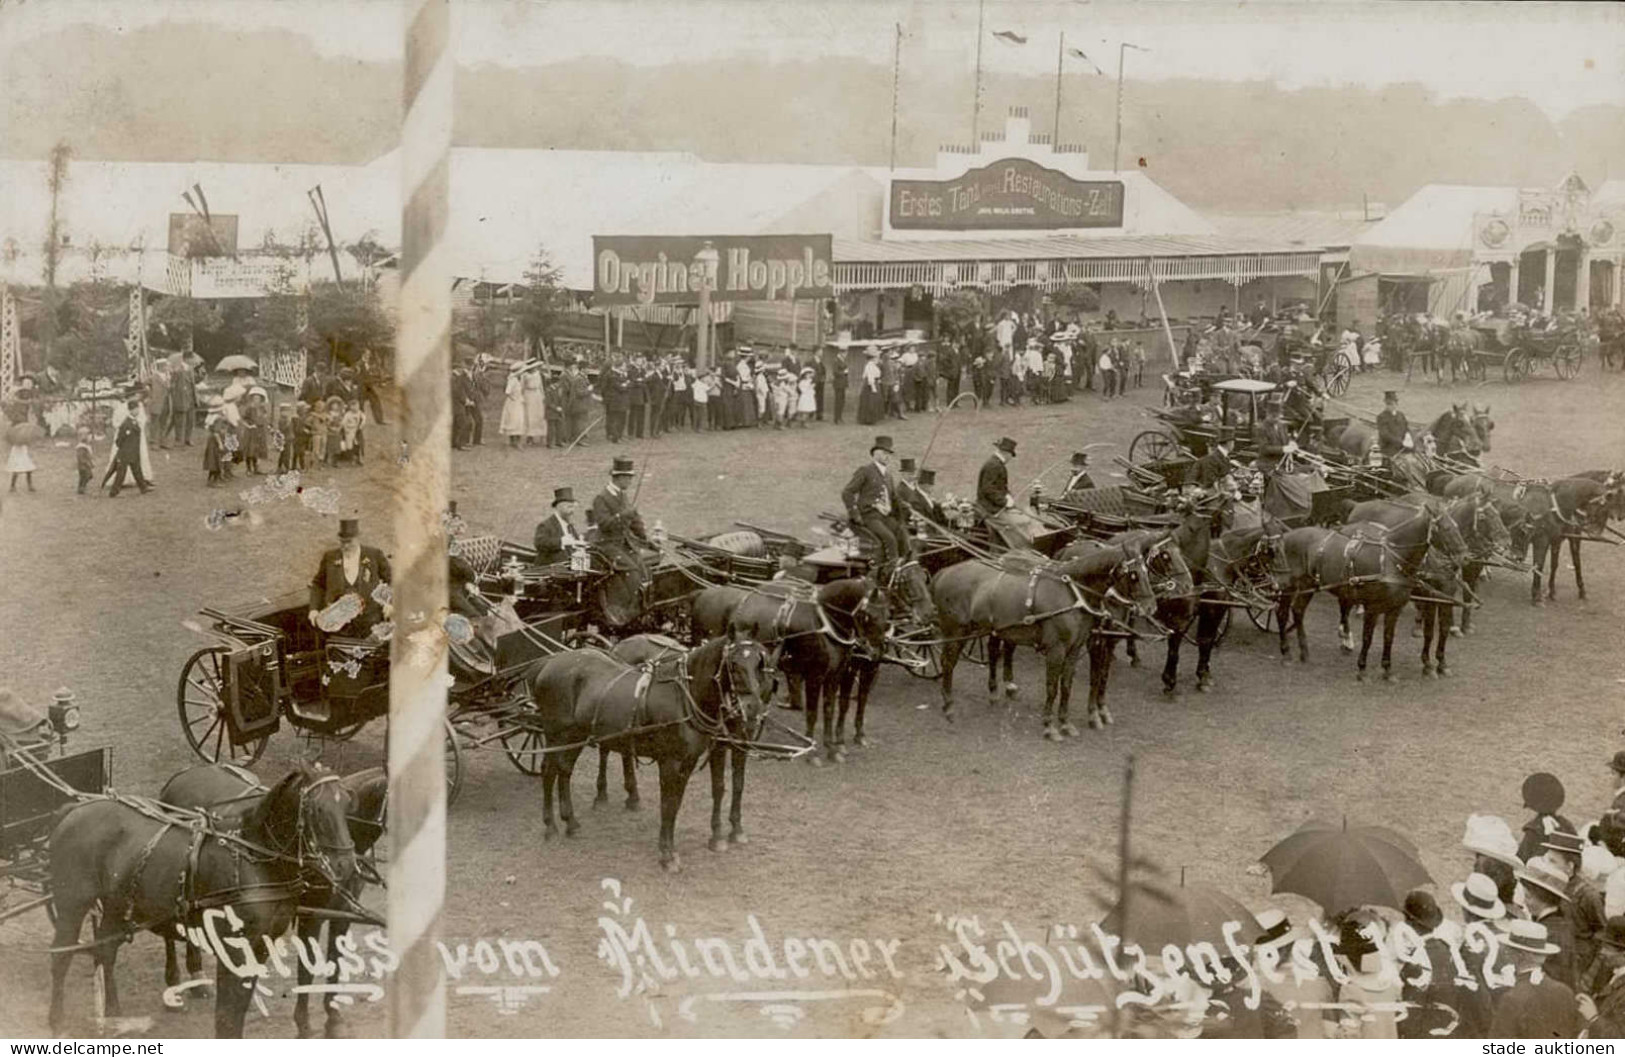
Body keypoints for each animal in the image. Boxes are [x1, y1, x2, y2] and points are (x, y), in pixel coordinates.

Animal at [46, 761, 355, 1034]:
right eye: (316, 808)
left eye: (347, 805)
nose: (346, 865)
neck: (253, 858)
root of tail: (75, 809)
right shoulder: (232, 948)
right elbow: (227, 1015)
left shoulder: (260, 946)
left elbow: (238, 1009)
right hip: (72, 905)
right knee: (60, 957)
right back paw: (57, 1022)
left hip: (115, 907)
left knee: (105, 952)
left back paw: (113, 1015)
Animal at [155, 761, 390, 1034]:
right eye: (316, 810)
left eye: (347, 805)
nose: (344, 865)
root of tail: (181, 775)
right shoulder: (312, 916)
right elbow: (307, 967)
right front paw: (304, 1025)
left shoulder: (343, 912)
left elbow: (335, 961)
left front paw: (333, 1019)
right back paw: (175, 985)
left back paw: (196, 977)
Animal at [523, 630, 770, 871]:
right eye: (734, 664)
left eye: (759, 663)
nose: (753, 708)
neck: (683, 697)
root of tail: (548, 662)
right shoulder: (670, 762)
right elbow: (668, 805)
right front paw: (667, 855)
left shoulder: (688, 762)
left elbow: (676, 804)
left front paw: (671, 850)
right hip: (556, 734)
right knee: (548, 771)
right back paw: (550, 826)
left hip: (576, 735)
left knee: (564, 770)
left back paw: (571, 822)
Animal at [936, 539, 1163, 738]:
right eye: (1133, 575)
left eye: (1146, 571)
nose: (1151, 607)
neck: (1073, 593)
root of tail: (943, 572)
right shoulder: (1060, 648)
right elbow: (1055, 686)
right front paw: (1051, 725)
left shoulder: (1077, 648)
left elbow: (1070, 685)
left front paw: (1068, 722)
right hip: (956, 632)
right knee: (948, 663)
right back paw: (948, 706)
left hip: (993, 629)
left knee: (993, 651)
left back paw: (993, 692)